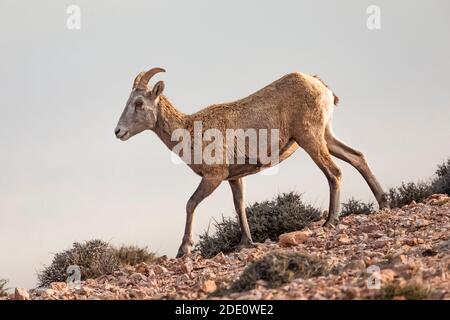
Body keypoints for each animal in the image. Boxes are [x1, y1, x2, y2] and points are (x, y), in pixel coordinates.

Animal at [114, 67, 388, 258]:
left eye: (139, 103)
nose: (118, 132)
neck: (191, 130)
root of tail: (320, 85)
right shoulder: (234, 179)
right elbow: (240, 206)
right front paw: (246, 243)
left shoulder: (213, 177)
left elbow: (190, 204)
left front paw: (184, 250)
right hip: (326, 136)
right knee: (357, 157)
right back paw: (384, 203)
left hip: (310, 139)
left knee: (334, 172)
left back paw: (330, 221)